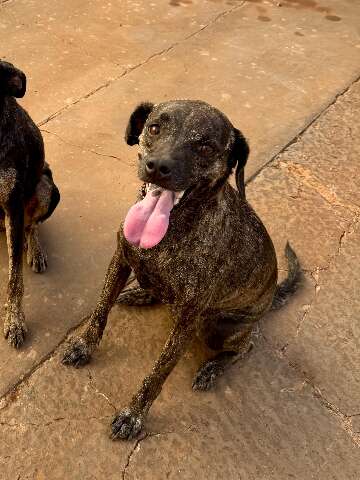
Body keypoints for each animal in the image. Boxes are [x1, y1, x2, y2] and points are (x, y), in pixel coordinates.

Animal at [62, 100, 300, 438]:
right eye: (154, 128)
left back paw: (212, 368)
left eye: (205, 146)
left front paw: (133, 415)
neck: (172, 231)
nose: (157, 167)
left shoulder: (188, 321)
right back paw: (142, 294)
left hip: (215, 328)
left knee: (247, 345)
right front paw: (84, 346)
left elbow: (158, 373)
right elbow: (100, 311)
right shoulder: (120, 259)